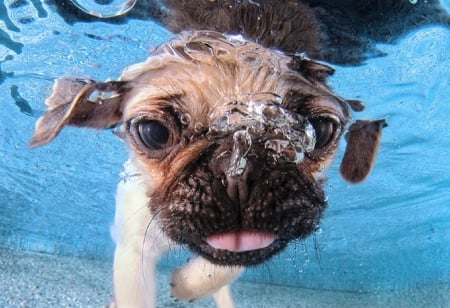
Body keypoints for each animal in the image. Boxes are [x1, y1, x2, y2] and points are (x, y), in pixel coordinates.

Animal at [29, 1, 390, 306]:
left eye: (321, 129)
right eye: (153, 132)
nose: (238, 173)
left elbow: (230, 262)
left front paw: (189, 283)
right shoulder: (133, 247)